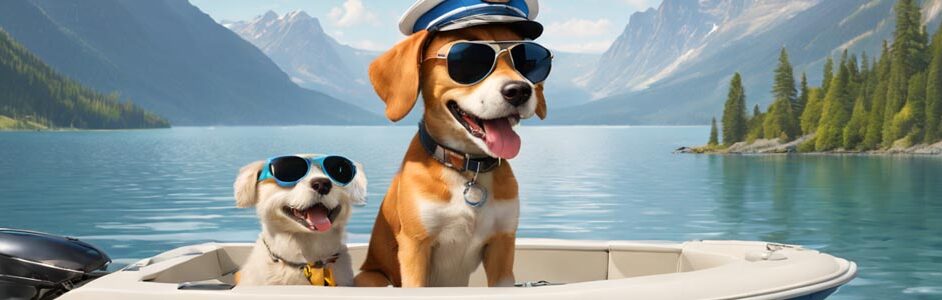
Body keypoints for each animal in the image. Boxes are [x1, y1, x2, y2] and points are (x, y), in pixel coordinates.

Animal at [354, 24, 544, 288]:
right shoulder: (415, 247)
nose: (519, 91)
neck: (468, 170)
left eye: (525, 59)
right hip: (371, 277)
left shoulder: (502, 245)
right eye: (467, 60)